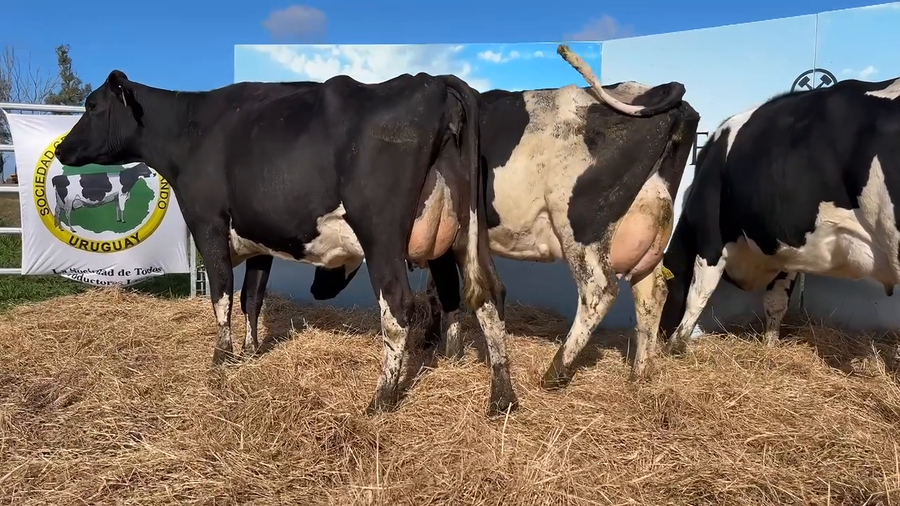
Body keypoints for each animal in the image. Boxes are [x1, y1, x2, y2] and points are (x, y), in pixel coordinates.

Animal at [53, 69, 516, 417]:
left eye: (92, 106)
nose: (61, 149)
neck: (191, 129)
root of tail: (432, 81)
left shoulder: (208, 224)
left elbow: (221, 294)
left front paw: (221, 359)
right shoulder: (260, 239)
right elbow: (251, 297)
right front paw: (251, 351)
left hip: (381, 234)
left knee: (399, 305)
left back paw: (382, 398)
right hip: (463, 235)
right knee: (486, 296)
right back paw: (500, 395)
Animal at [310, 44, 701, 388]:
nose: (315, 290)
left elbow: (441, 289)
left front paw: (438, 343)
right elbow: (440, 288)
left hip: (582, 226)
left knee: (599, 290)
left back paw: (556, 371)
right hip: (647, 229)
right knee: (652, 293)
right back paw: (640, 374)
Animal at [658, 76, 900, 356]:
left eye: (664, 289)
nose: (660, 335)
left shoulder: (710, 238)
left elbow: (698, 293)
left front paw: (676, 345)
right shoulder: (785, 253)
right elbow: (776, 301)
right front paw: (770, 343)